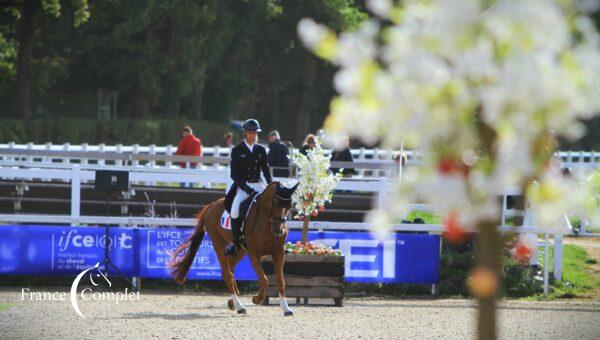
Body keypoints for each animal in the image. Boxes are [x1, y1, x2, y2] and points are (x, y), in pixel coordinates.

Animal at [169, 182, 298, 314]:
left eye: (289, 205)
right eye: (276, 204)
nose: (278, 231)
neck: (266, 222)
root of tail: (211, 206)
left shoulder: (278, 252)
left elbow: (281, 281)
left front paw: (286, 309)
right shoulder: (254, 254)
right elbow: (264, 279)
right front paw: (256, 299)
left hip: (240, 250)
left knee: (229, 269)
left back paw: (232, 303)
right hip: (219, 245)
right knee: (227, 274)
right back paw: (239, 306)